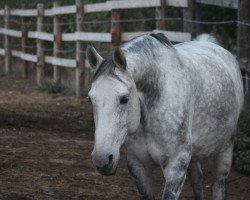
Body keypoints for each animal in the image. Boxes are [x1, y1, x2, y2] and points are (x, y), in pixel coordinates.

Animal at [86, 33, 244, 199]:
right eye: (90, 99)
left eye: (124, 99)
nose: (102, 159)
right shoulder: (138, 164)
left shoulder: (176, 167)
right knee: (197, 181)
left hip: (225, 149)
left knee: (218, 186)